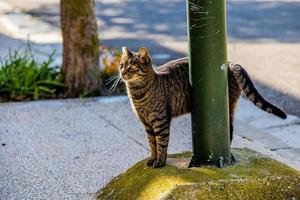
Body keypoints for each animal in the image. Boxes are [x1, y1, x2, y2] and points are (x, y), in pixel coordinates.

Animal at [119, 46, 286, 167]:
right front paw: (153, 159)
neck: (137, 93)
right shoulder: (147, 123)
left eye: (132, 68)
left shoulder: (160, 121)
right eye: (121, 65)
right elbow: (152, 143)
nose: (122, 73)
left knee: (229, 131)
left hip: (226, 107)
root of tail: (229, 62)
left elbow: (161, 143)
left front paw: (160, 162)